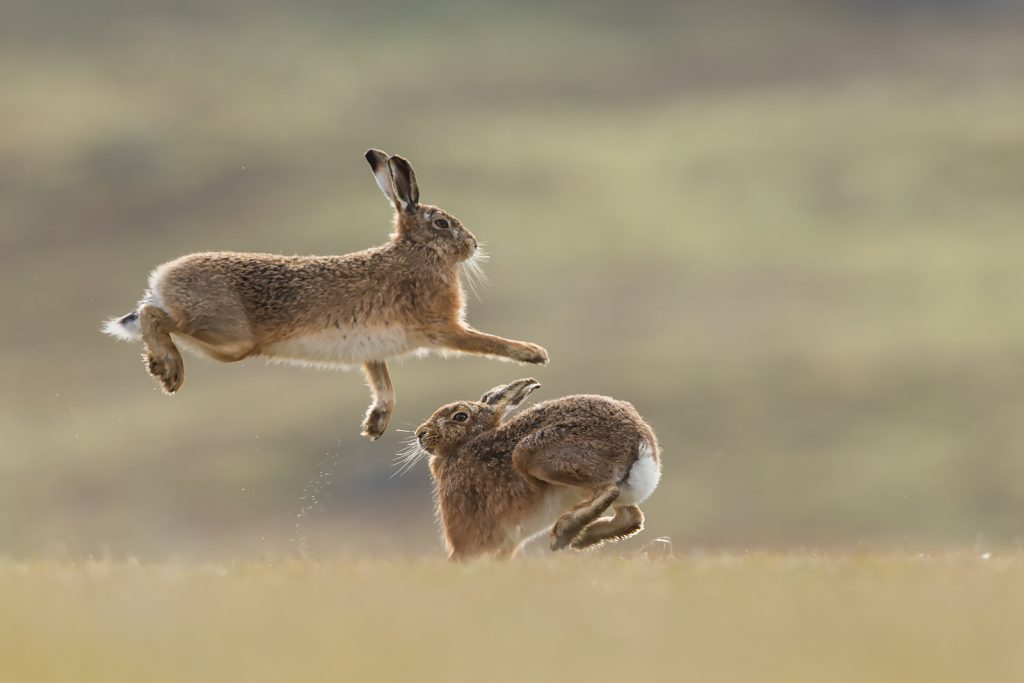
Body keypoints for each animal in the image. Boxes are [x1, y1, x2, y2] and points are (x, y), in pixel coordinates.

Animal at [102, 149, 548, 440]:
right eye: (442, 223)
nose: (472, 244)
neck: (418, 251)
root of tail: (162, 278)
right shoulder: (443, 326)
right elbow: (487, 342)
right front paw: (533, 353)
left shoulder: (373, 348)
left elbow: (384, 384)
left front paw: (375, 424)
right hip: (229, 337)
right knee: (153, 316)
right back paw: (167, 368)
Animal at [406, 378, 661, 560]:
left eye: (460, 416)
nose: (420, 434)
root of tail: (641, 441)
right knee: (632, 516)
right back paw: (583, 537)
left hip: (532, 454)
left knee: (607, 490)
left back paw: (564, 532)